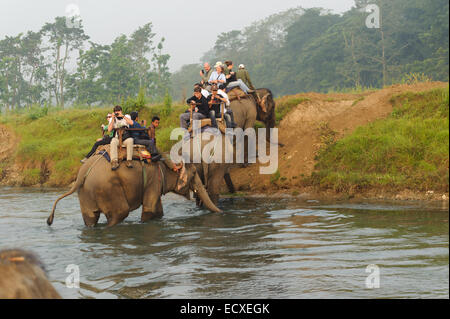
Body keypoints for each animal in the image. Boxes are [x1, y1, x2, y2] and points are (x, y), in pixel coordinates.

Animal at [46, 155, 221, 228]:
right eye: (194, 173)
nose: (222, 213)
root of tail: (82, 174)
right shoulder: (153, 179)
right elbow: (149, 209)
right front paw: (142, 223)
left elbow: (158, 210)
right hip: (108, 189)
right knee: (119, 213)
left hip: (85, 193)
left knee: (90, 218)